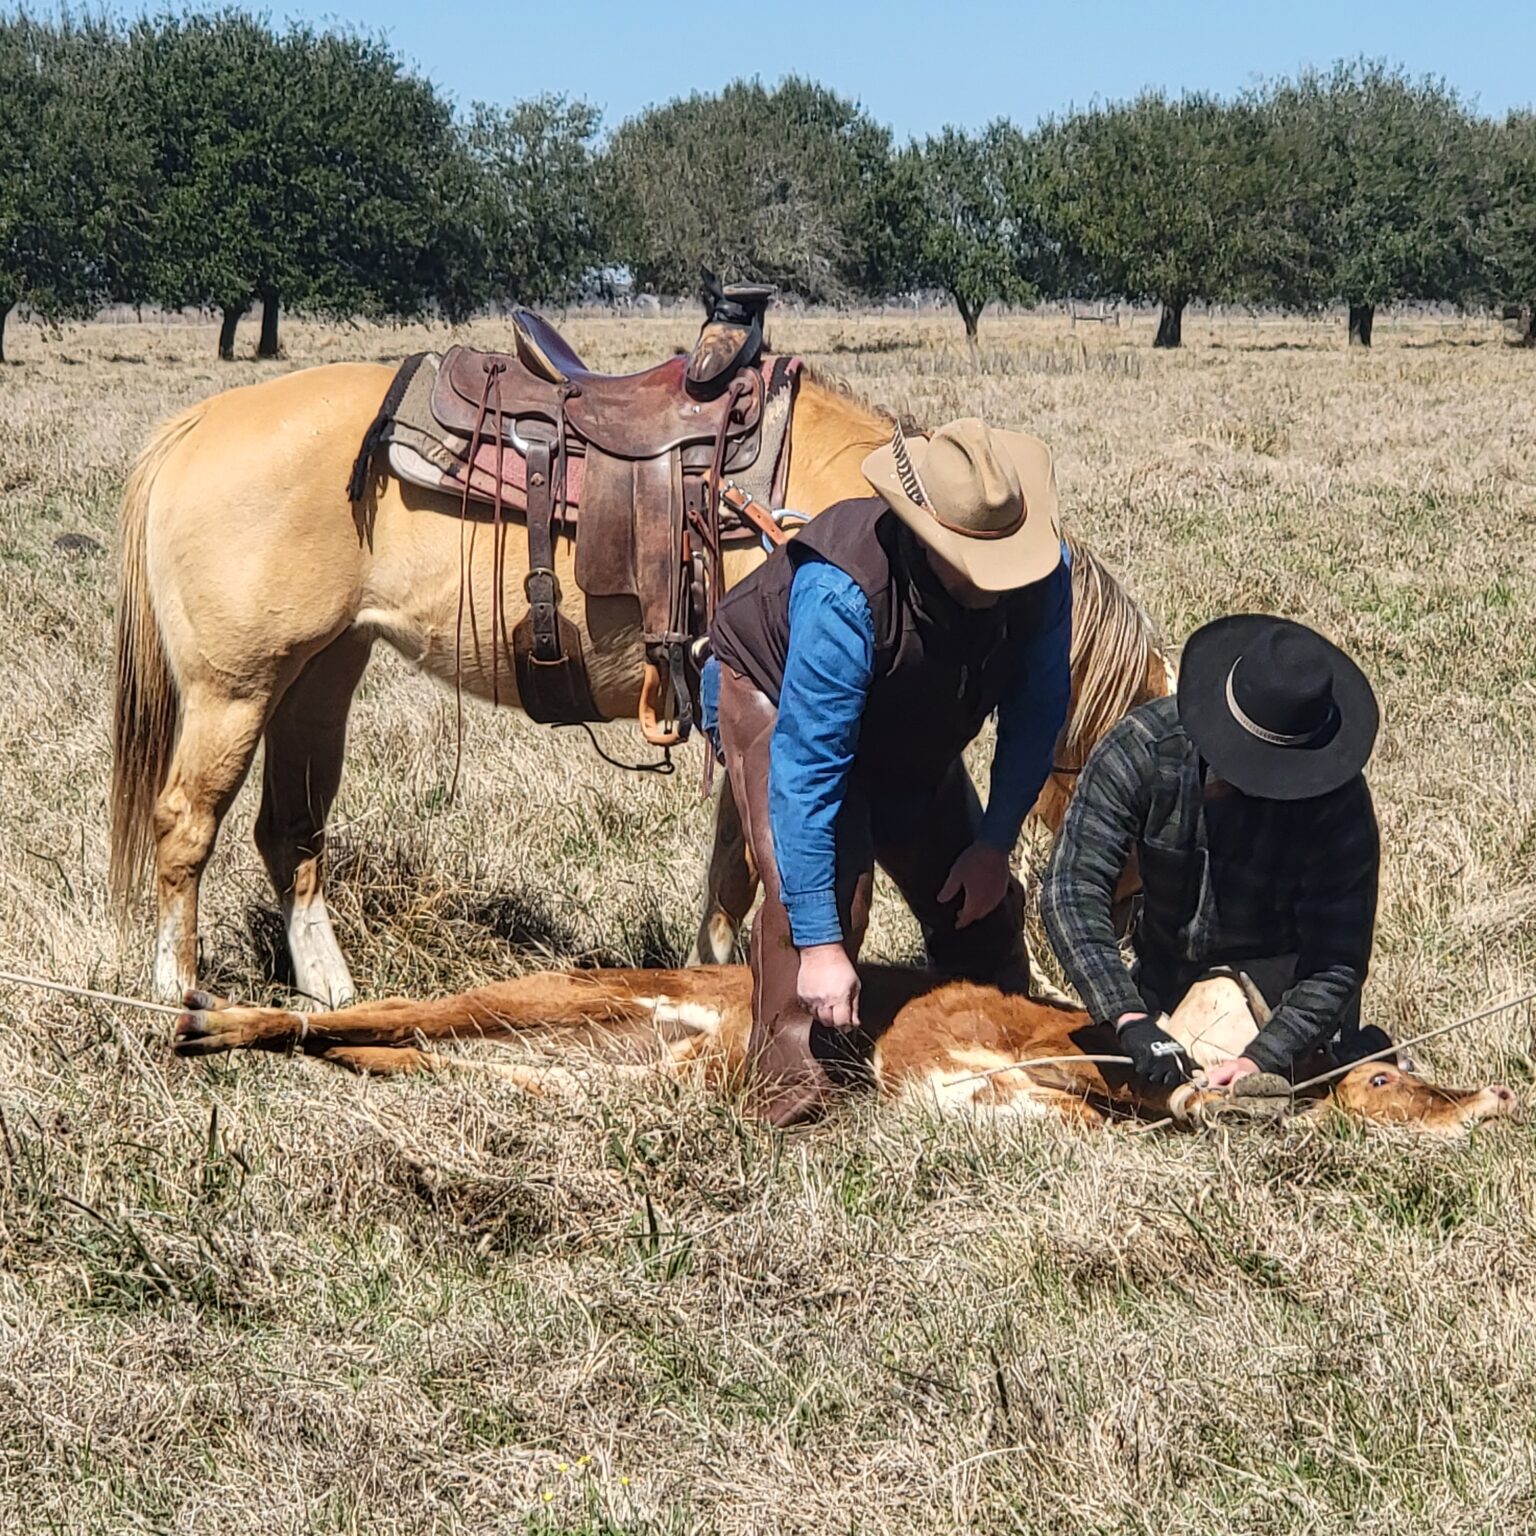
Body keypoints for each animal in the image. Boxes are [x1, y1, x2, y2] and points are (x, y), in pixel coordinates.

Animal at [113, 359, 1167, 1007]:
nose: (1132, 954)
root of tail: (196, 424)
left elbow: (732, 873)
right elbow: (761, 870)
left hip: (319, 675)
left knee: (288, 829)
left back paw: (329, 990)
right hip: (234, 690)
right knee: (185, 824)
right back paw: (178, 992)